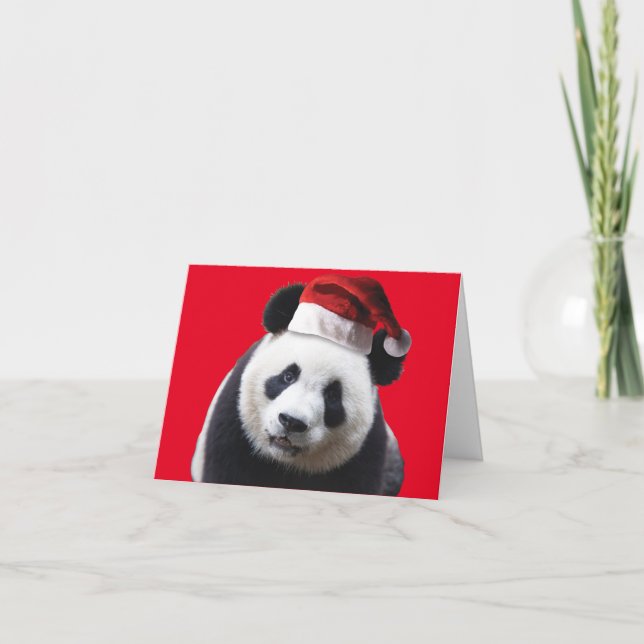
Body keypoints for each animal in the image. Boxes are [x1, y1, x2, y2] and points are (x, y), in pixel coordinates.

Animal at [191, 280, 409, 496]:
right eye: (288, 376)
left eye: (332, 395)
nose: (291, 422)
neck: (285, 462)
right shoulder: (234, 427)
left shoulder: (363, 453)